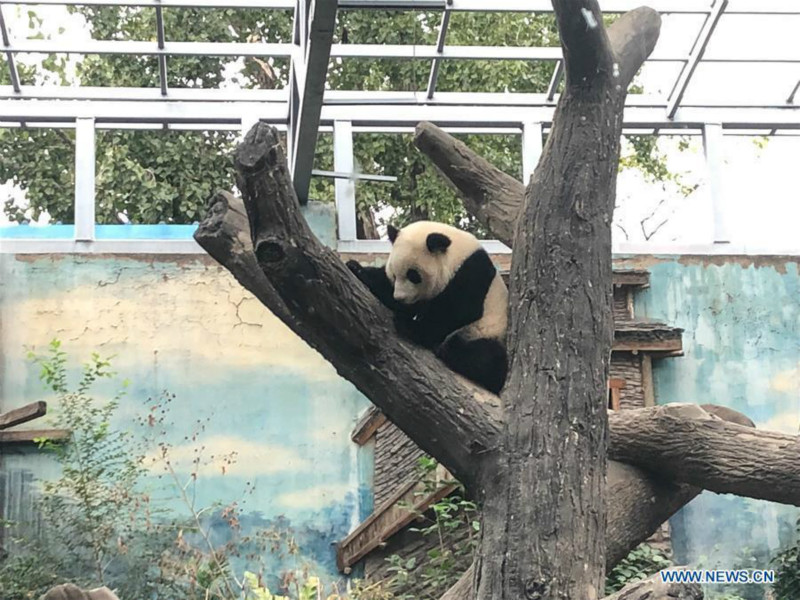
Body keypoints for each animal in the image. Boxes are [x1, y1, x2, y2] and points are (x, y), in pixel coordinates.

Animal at [346, 220, 510, 394]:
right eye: (395, 275)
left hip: (487, 331)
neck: (456, 256)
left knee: (484, 355)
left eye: (413, 275)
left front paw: (409, 326)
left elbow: (458, 312)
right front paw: (356, 269)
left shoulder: (471, 273)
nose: (400, 297)